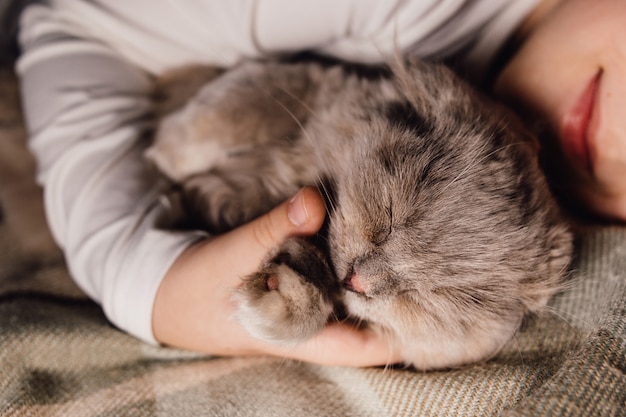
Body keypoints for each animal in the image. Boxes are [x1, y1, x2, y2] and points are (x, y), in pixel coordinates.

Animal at [145, 57, 572, 368]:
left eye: (436, 297)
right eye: (391, 218)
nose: (359, 281)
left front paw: (287, 293)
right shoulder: (307, 84)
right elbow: (232, 114)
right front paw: (166, 153)